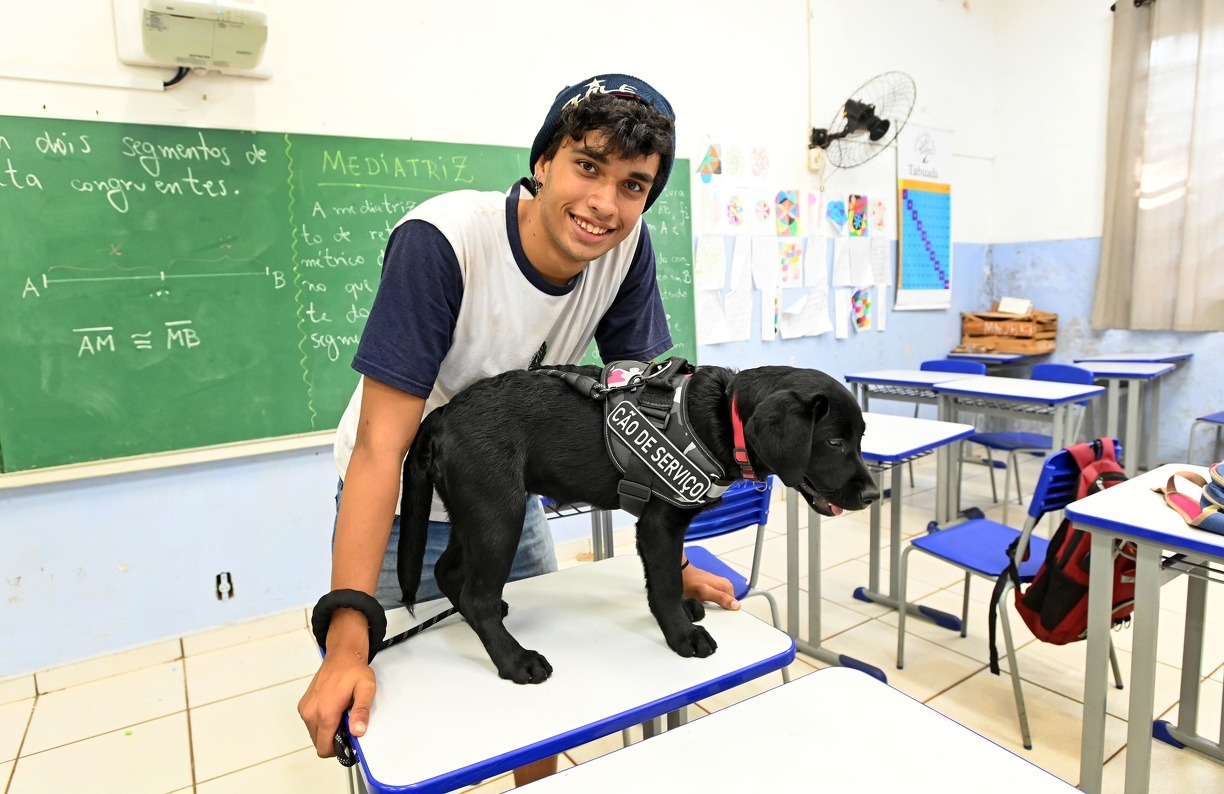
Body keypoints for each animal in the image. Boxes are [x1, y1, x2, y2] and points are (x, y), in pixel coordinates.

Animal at [401, 364, 881, 680]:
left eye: (859, 439)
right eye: (834, 443)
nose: (873, 495)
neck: (724, 417)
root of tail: (442, 414)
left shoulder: (664, 524)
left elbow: (667, 576)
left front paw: (684, 608)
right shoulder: (659, 524)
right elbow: (665, 582)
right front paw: (682, 636)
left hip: (475, 513)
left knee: (450, 572)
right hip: (499, 513)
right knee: (476, 594)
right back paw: (514, 660)